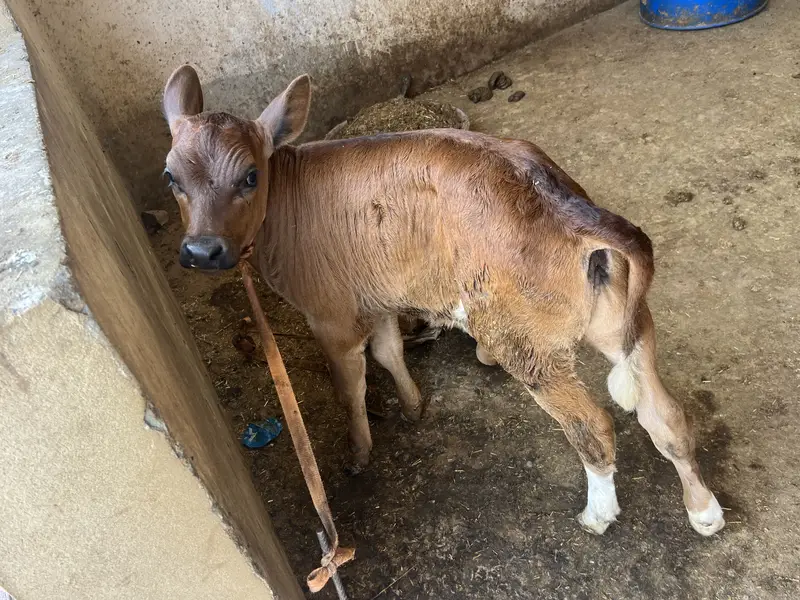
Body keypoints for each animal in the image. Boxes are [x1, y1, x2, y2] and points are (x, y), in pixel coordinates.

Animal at [161, 65, 725, 537]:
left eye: (250, 177)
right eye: (171, 177)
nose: (201, 250)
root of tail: (563, 197)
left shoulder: (330, 314)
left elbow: (352, 385)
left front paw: (359, 453)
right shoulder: (378, 295)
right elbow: (389, 352)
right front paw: (413, 406)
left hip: (528, 344)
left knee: (594, 425)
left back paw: (598, 514)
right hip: (625, 325)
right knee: (666, 416)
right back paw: (704, 512)